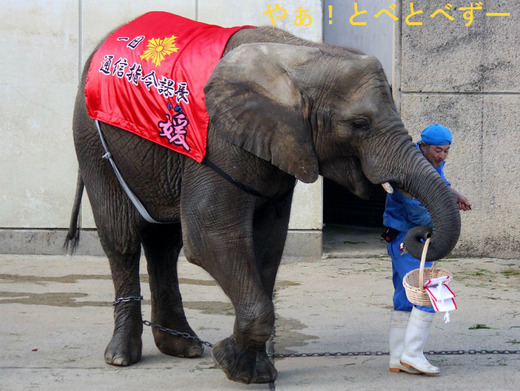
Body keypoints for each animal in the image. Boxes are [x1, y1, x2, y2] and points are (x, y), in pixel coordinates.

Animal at [65, 12, 460, 386]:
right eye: (359, 124)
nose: (419, 234)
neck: (301, 55)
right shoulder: (219, 142)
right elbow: (210, 237)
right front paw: (233, 365)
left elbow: (267, 242)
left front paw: (251, 369)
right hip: (91, 138)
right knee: (122, 239)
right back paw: (121, 357)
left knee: (165, 242)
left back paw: (184, 347)